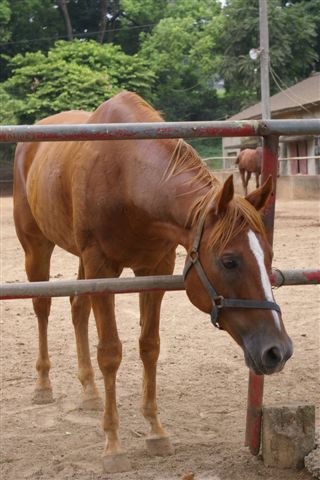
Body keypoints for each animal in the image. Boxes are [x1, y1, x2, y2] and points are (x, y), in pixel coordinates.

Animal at [13, 93, 292, 472]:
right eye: (229, 261)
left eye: (269, 256)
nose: (278, 350)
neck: (128, 179)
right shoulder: (102, 269)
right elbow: (111, 352)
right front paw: (113, 445)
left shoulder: (154, 268)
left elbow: (149, 346)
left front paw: (155, 431)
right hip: (37, 246)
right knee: (42, 307)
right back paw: (43, 385)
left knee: (77, 307)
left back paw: (89, 391)